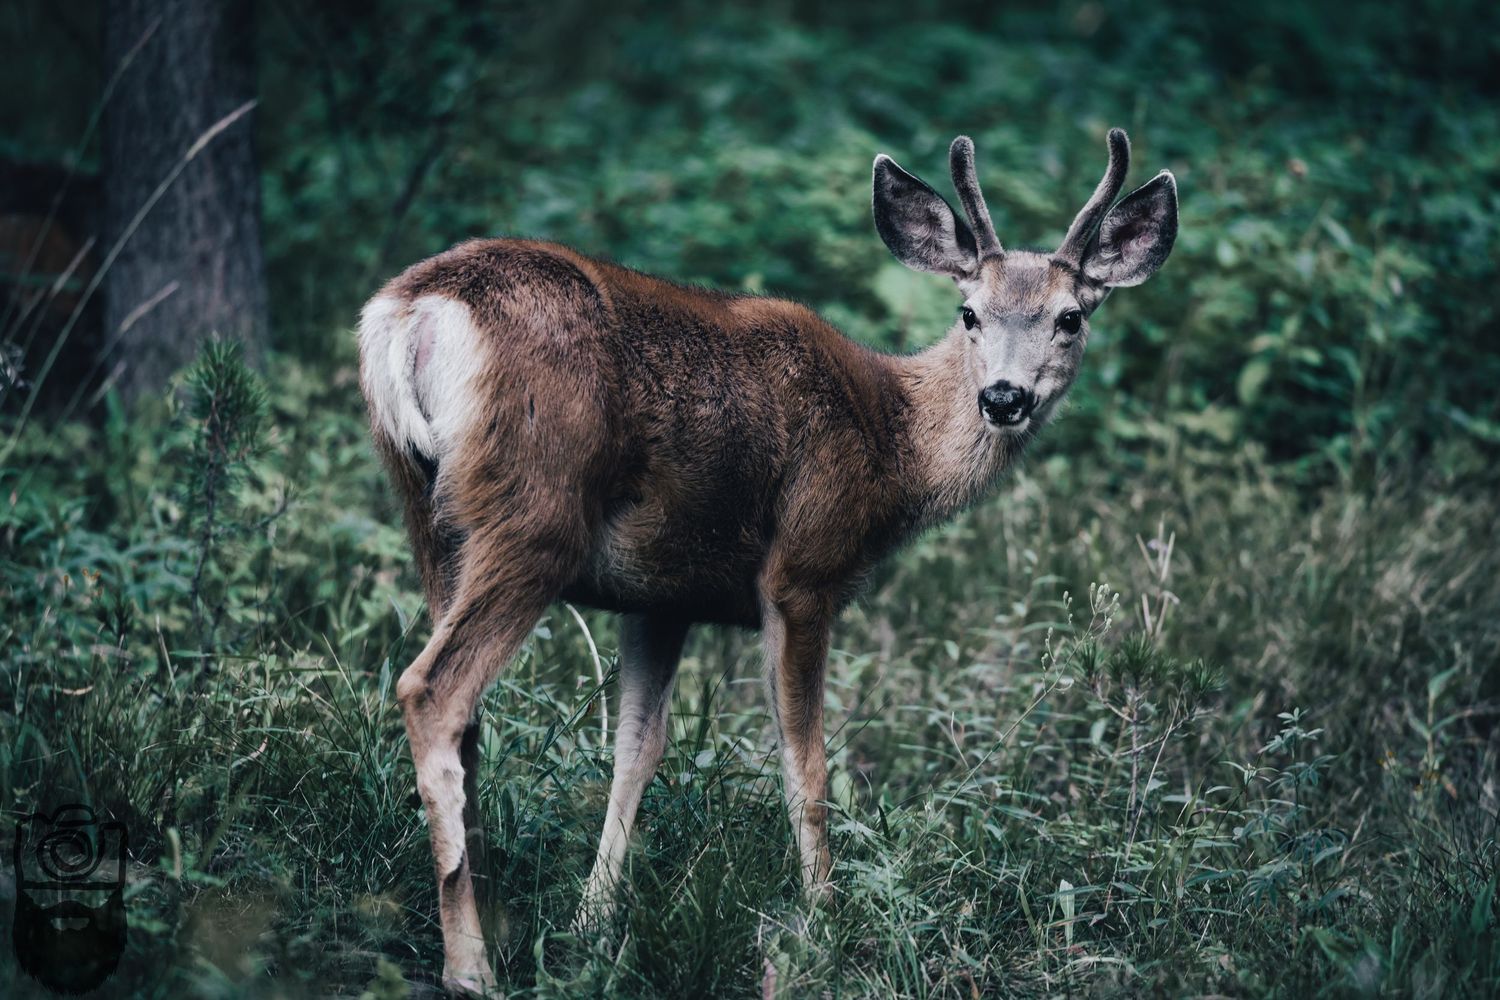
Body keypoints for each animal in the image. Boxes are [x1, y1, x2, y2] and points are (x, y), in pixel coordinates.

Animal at [357, 128, 1176, 994]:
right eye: (969, 314)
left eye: (1070, 317)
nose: (1005, 398)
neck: (891, 444)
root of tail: (412, 311)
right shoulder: (803, 569)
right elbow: (805, 763)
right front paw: (826, 922)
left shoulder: (662, 595)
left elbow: (636, 750)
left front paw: (592, 924)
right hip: (535, 510)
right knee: (432, 689)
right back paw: (469, 966)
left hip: (428, 513)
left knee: (467, 714)